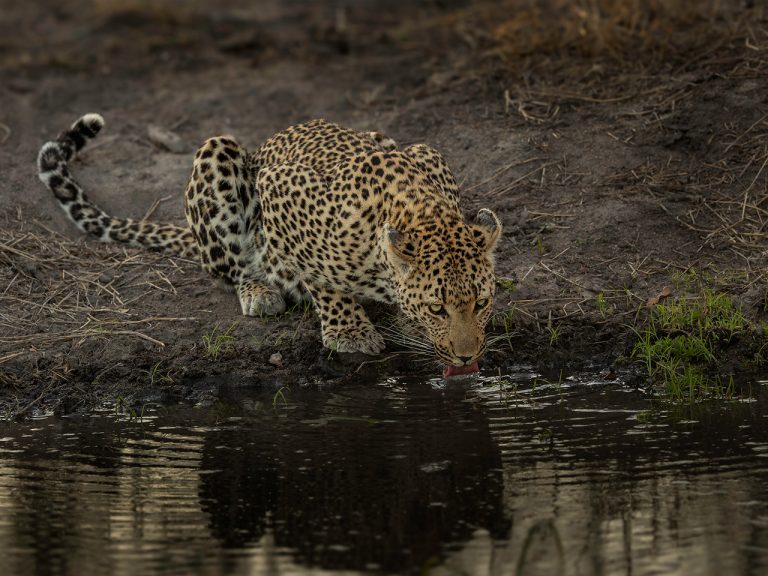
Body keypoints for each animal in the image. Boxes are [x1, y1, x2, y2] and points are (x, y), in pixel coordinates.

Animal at [37, 114, 502, 372]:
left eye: (481, 303)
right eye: (437, 308)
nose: (467, 357)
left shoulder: (428, 153)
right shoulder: (281, 186)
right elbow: (319, 273)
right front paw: (349, 331)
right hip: (218, 155)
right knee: (233, 267)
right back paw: (260, 291)